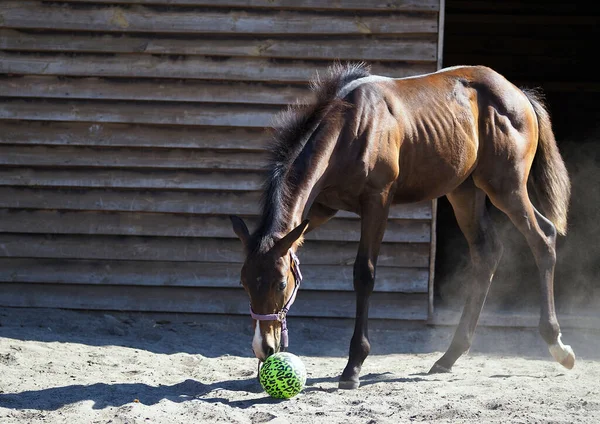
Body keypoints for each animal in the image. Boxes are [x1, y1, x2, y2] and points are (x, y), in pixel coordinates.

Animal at [229, 61, 572, 390]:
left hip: (505, 187)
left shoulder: (377, 201)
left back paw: (557, 344)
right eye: (244, 282)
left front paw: (353, 366)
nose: (264, 348)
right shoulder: (322, 208)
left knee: (543, 238)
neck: (349, 127)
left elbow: (364, 274)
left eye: (280, 283)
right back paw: (449, 356)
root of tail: (519, 94)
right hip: (465, 191)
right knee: (487, 252)